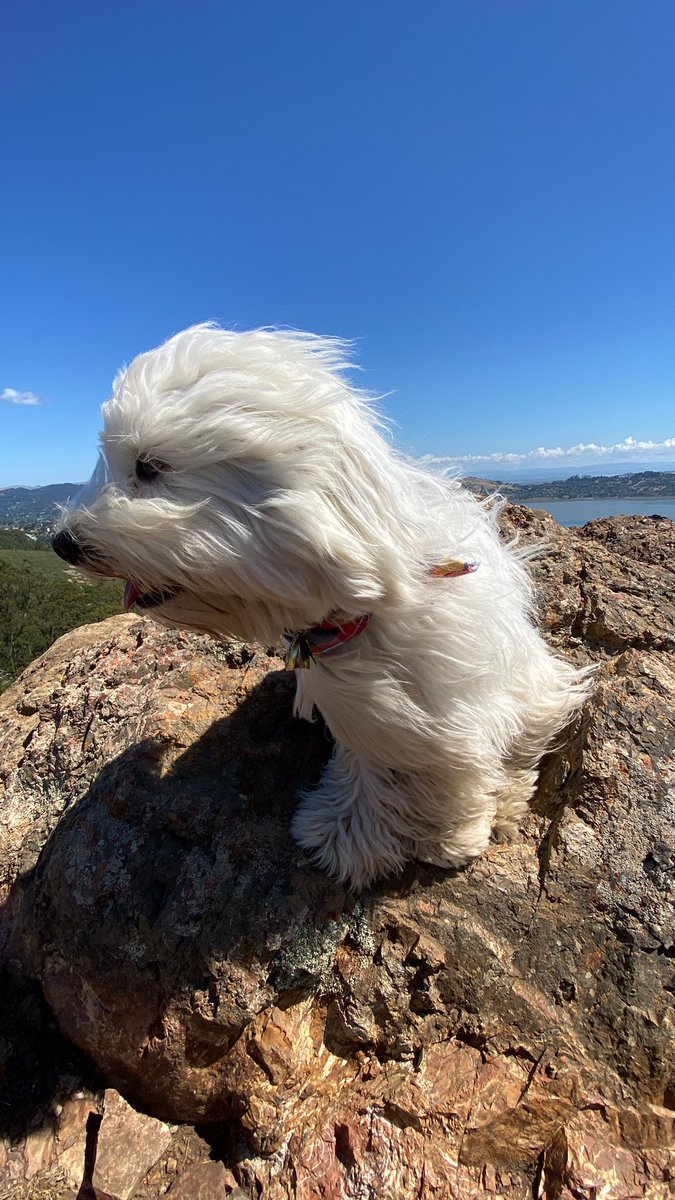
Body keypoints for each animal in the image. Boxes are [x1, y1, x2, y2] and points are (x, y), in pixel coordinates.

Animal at [53, 328, 588, 892]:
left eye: (149, 466)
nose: (61, 543)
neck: (362, 610)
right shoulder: (367, 711)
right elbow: (375, 762)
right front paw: (349, 830)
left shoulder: (448, 703)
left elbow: (451, 766)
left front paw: (449, 836)